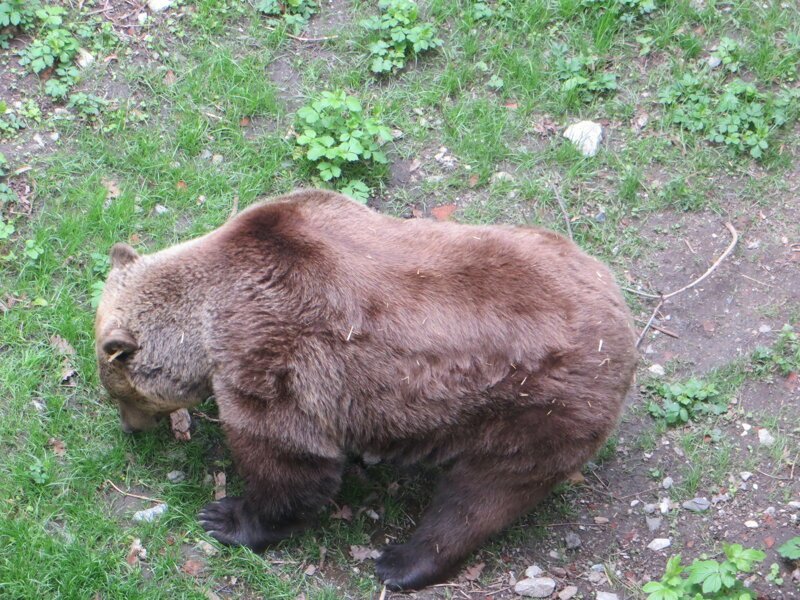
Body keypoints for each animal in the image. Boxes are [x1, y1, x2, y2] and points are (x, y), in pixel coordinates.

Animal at [97, 189, 636, 592]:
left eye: (121, 392)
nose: (129, 429)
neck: (207, 318)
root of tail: (623, 331)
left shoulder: (269, 345)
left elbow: (288, 454)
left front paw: (226, 517)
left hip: (531, 408)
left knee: (479, 497)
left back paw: (400, 561)